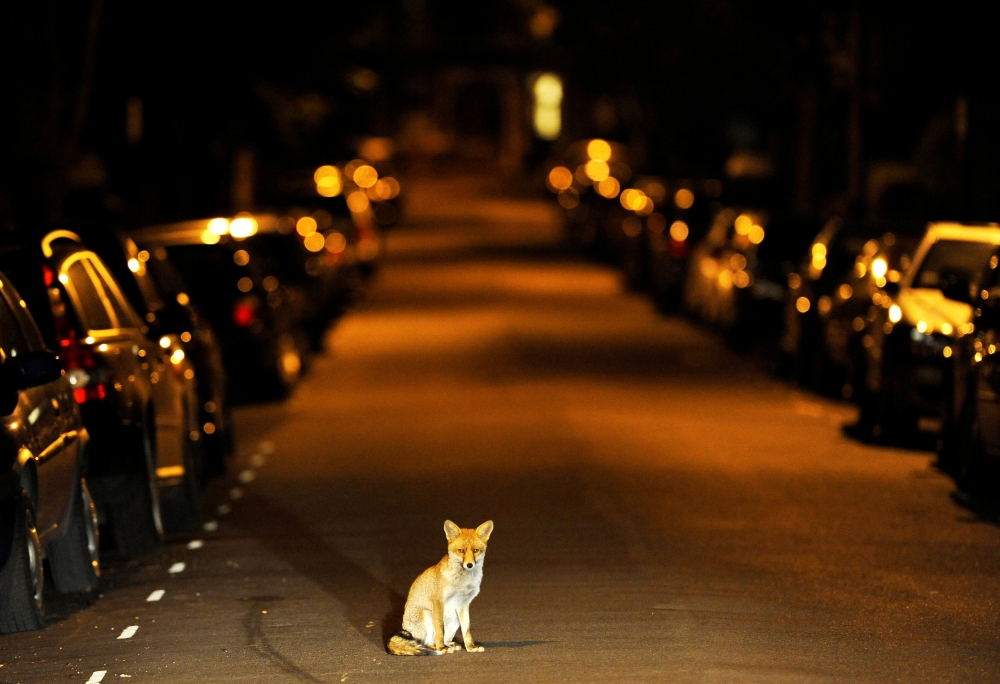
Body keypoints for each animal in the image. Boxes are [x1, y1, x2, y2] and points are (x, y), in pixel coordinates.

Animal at [387, 520, 494, 656]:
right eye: (461, 551)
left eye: (475, 550)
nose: (469, 565)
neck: (463, 583)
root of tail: (405, 628)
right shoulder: (438, 601)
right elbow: (439, 629)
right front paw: (441, 648)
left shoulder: (464, 604)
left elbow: (466, 630)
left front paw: (470, 647)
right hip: (427, 614)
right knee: (426, 643)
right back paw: (439, 648)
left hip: (454, 619)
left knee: (445, 638)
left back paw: (451, 644)